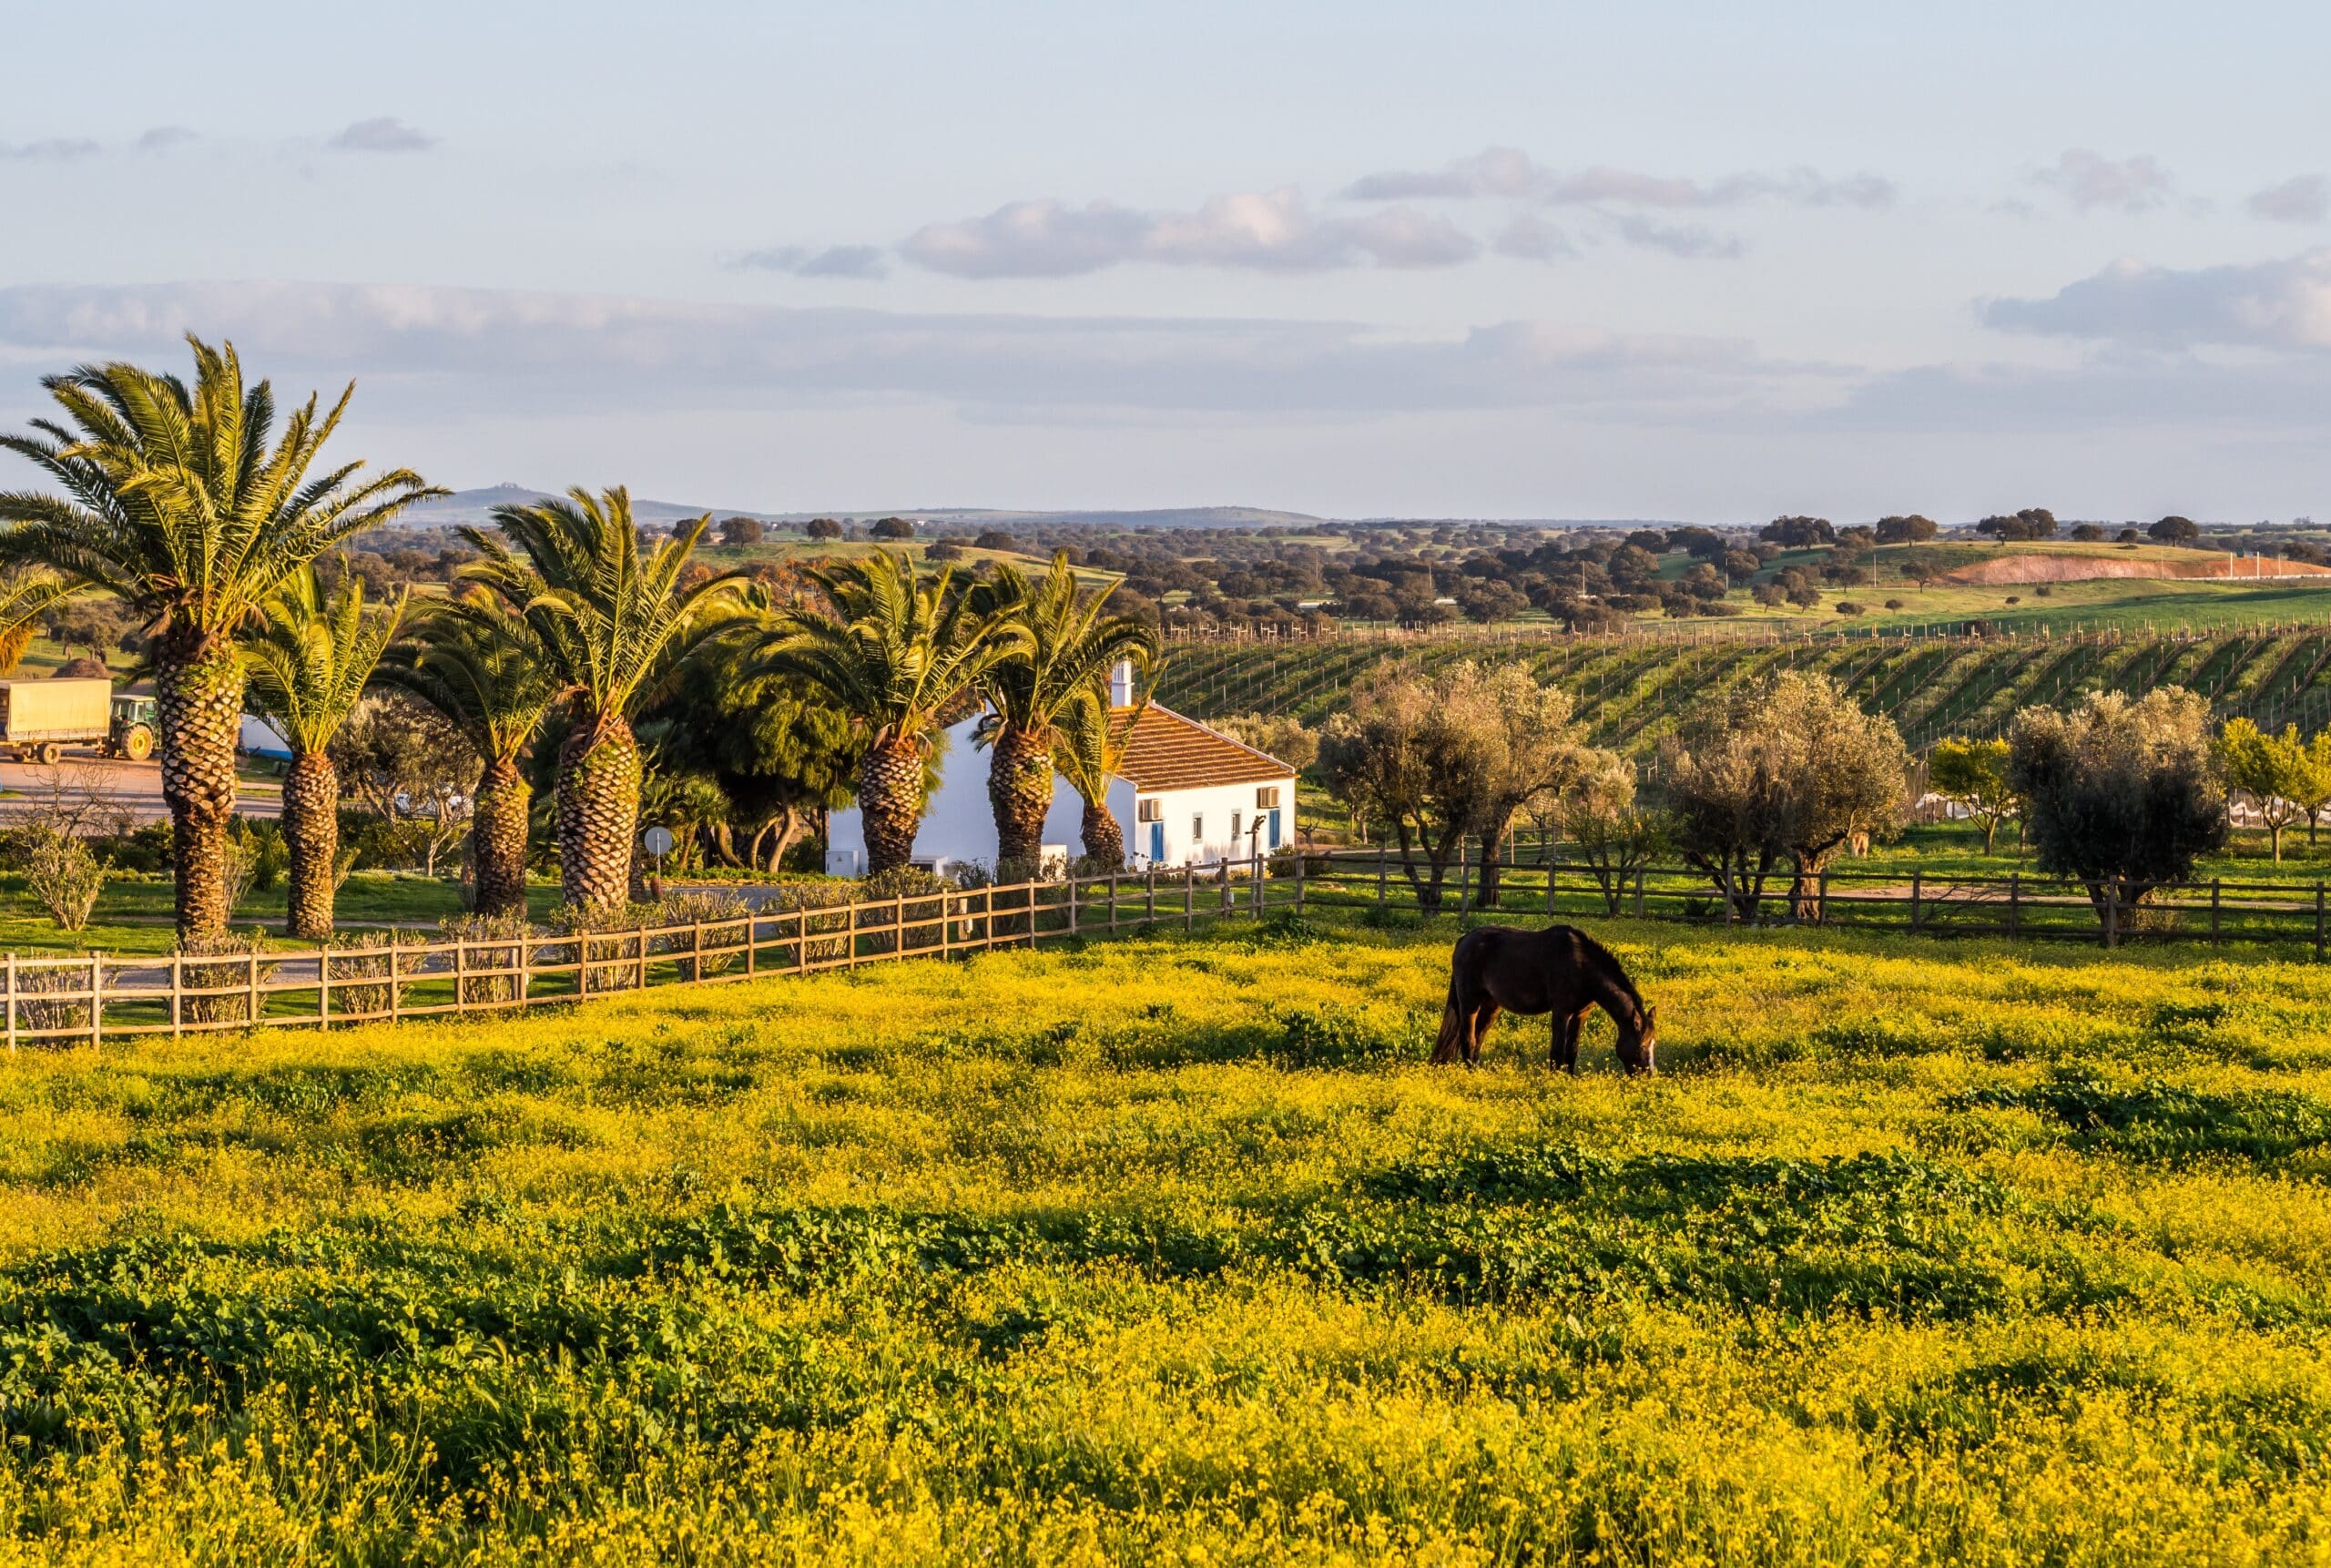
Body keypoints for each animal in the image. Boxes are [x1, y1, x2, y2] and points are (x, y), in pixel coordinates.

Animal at [1417, 922, 1659, 1071]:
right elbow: (1557, 1051)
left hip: (1491, 1005)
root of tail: (1463, 940)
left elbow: (1572, 1050)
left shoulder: (1581, 1014)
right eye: (1641, 1045)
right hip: (1469, 1003)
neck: (1582, 966)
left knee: (1478, 1038)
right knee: (1468, 1039)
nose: (1649, 1075)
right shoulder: (1562, 1012)